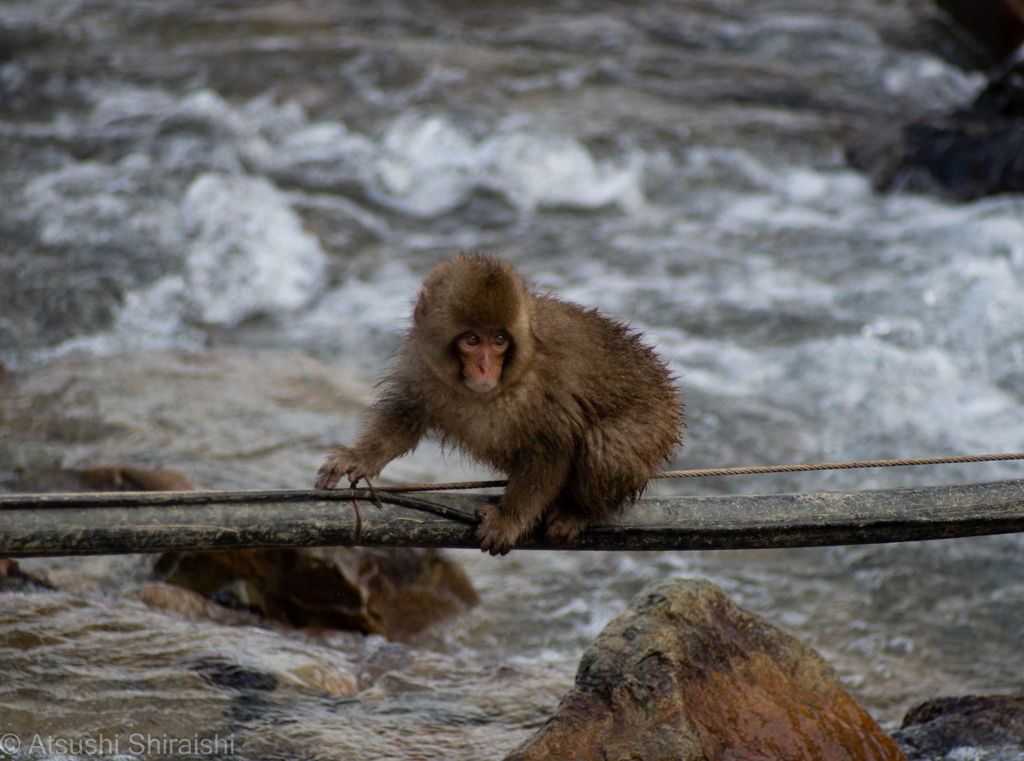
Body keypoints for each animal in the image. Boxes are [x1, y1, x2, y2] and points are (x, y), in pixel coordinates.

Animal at [311, 252, 679, 557]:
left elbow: (552, 450)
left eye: (499, 340)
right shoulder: (423, 363)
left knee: (607, 446)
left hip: (654, 424)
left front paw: (509, 519)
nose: (486, 368)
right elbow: (405, 415)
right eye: (472, 340)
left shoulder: (550, 388)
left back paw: (579, 511)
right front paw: (358, 457)